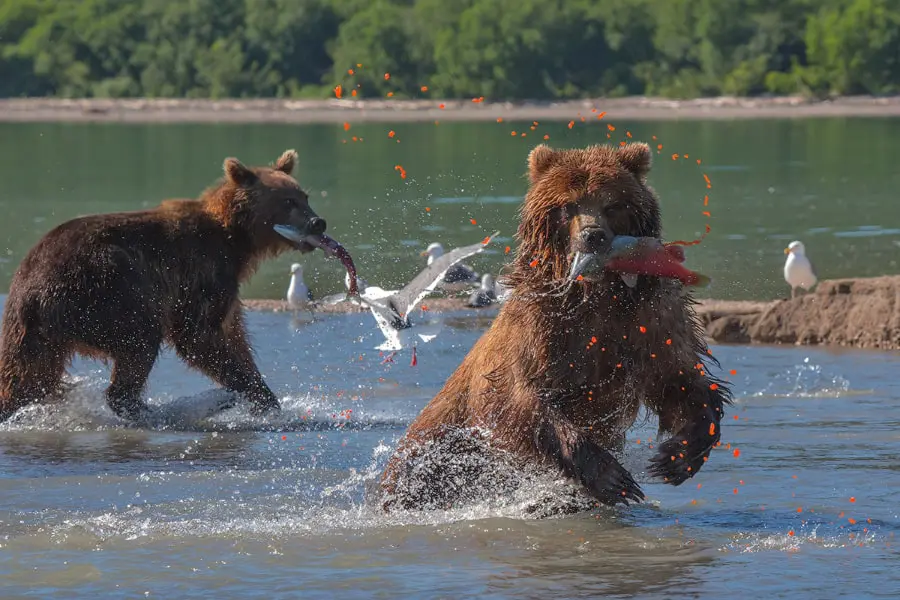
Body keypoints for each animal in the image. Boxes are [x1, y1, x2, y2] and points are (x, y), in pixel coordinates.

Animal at [0, 149, 348, 422]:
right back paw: (156, 409)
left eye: (305, 196)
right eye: (288, 201)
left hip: (35, 330)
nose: (318, 222)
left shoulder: (226, 289)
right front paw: (244, 394)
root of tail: (30, 288)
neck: (236, 240)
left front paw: (265, 398)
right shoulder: (202, 273)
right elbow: (198, 336)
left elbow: (234, 336)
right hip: (104, 290)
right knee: (139, 340)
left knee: (26, 375)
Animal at [380, 142, 732, 510]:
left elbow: (679, 378)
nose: (593, 236)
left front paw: (678, 455)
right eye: (568, 205)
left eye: (612, 204)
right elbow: (520, 399)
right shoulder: (541, 333)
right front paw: (613, 478)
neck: (595, 295)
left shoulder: (648, 323)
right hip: (433, 454)